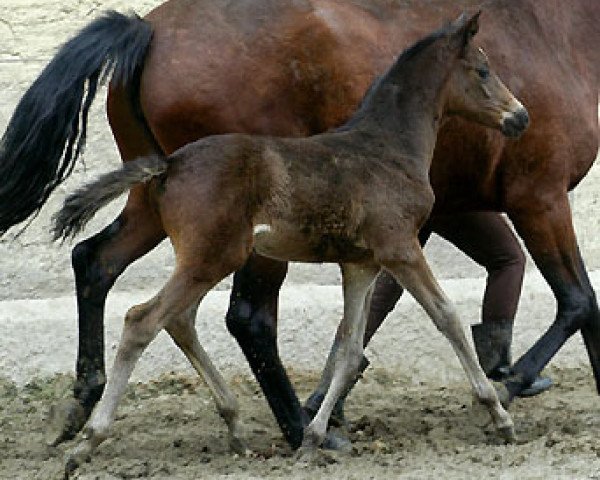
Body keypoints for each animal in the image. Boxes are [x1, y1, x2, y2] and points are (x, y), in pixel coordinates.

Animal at [0, 0, 596, 450]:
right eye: (483, 70)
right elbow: (533, 305)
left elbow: (352, 340)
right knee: (213, 317)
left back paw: (101, 408)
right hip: (231, 252)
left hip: (161, 217)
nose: (520, 118)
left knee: (109, 270)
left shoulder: (375, 253)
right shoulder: (518, 204)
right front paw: (504, 398)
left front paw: (326, 414)